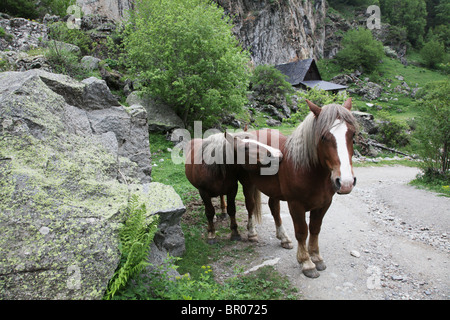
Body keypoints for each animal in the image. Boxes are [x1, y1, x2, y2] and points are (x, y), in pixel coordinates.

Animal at [243, 97, 358, 278]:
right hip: (247, 184)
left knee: (274, 208)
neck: (308, 169)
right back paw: (252, 233)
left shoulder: (324, 204)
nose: (346, 182)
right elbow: (302, 231)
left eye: (352, 134)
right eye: (323, 136)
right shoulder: (296, 205)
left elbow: (315, 228)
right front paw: (306, 263)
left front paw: (316, 257)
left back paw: (283, 238)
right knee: (250, 206)